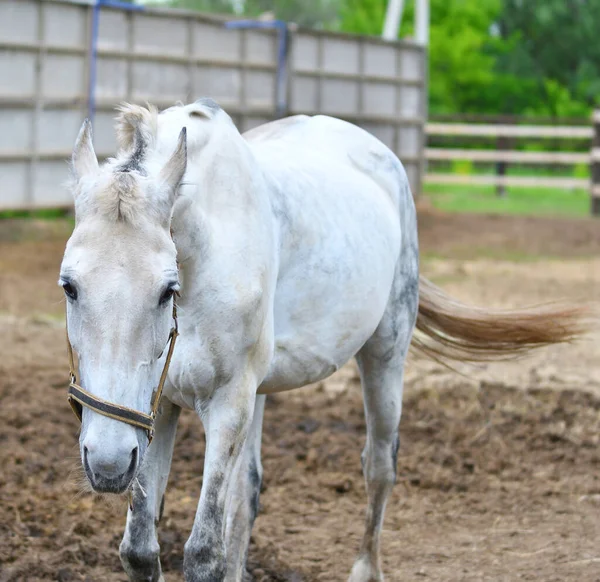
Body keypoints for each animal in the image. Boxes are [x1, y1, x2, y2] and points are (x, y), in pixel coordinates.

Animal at [62, 100, 592, 582]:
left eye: (166, 290)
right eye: (69, 286)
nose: (107, 462)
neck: (205, 249)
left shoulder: (227, 402)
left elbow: (205, 554)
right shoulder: (159, 408)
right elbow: (140, 550)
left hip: (385, 355)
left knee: (379, 466)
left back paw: (366, 568)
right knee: (247, 493)